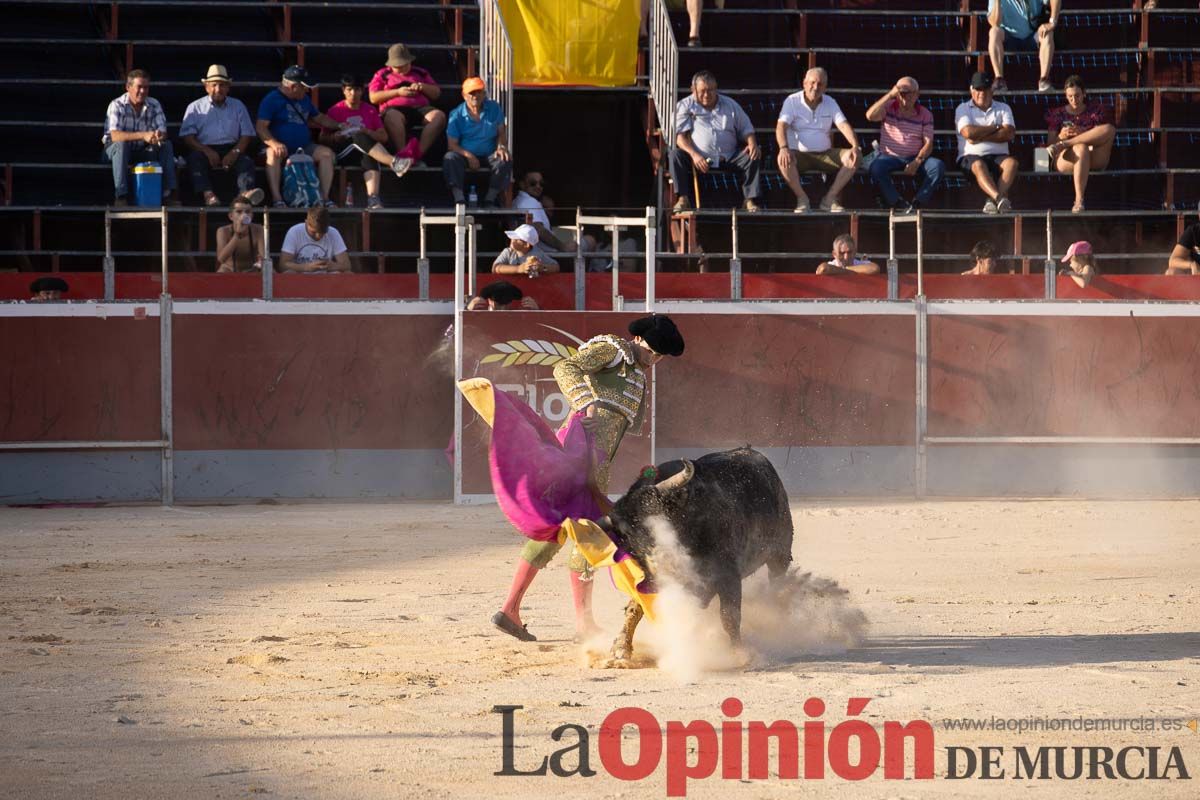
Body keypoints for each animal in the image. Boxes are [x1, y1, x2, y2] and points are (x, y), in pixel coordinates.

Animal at [595, 443, 792, 662]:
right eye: (627, 536)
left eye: (662, 520)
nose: (661, 560)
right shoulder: (649, 580)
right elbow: (634, 607)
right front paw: (620, 649)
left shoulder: (728, 575)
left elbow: (729, 615)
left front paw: (738, 653)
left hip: (780, 554)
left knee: (776, 584)